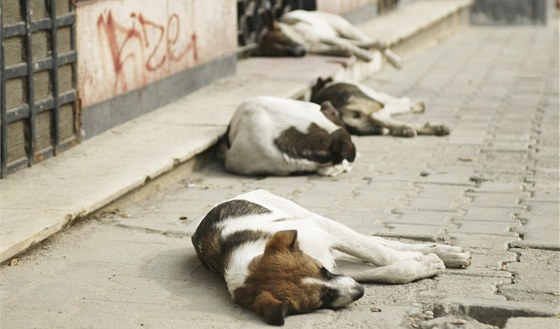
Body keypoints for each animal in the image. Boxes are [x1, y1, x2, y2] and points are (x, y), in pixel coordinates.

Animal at [192, 188, 472, 324]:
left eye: (322, 271)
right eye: (322, 300)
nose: (360, 292)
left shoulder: (325, 237)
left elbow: (380, 254)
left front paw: (430, 259)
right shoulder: (340, 270)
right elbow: (390, 270)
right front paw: (423, 265)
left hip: (307, 215)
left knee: (376, 242)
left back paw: (445, 252)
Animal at [258, 9, 402, 68]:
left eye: (285, 40)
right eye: (281, 53)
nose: (302, 52)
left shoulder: (323, 38)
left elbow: (349, 45)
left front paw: (365, 53)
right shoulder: (319, 47)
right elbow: (345, 48)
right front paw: (356, 52)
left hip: (344, 29)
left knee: (364, 39)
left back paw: (394, 58)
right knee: (357, 42)